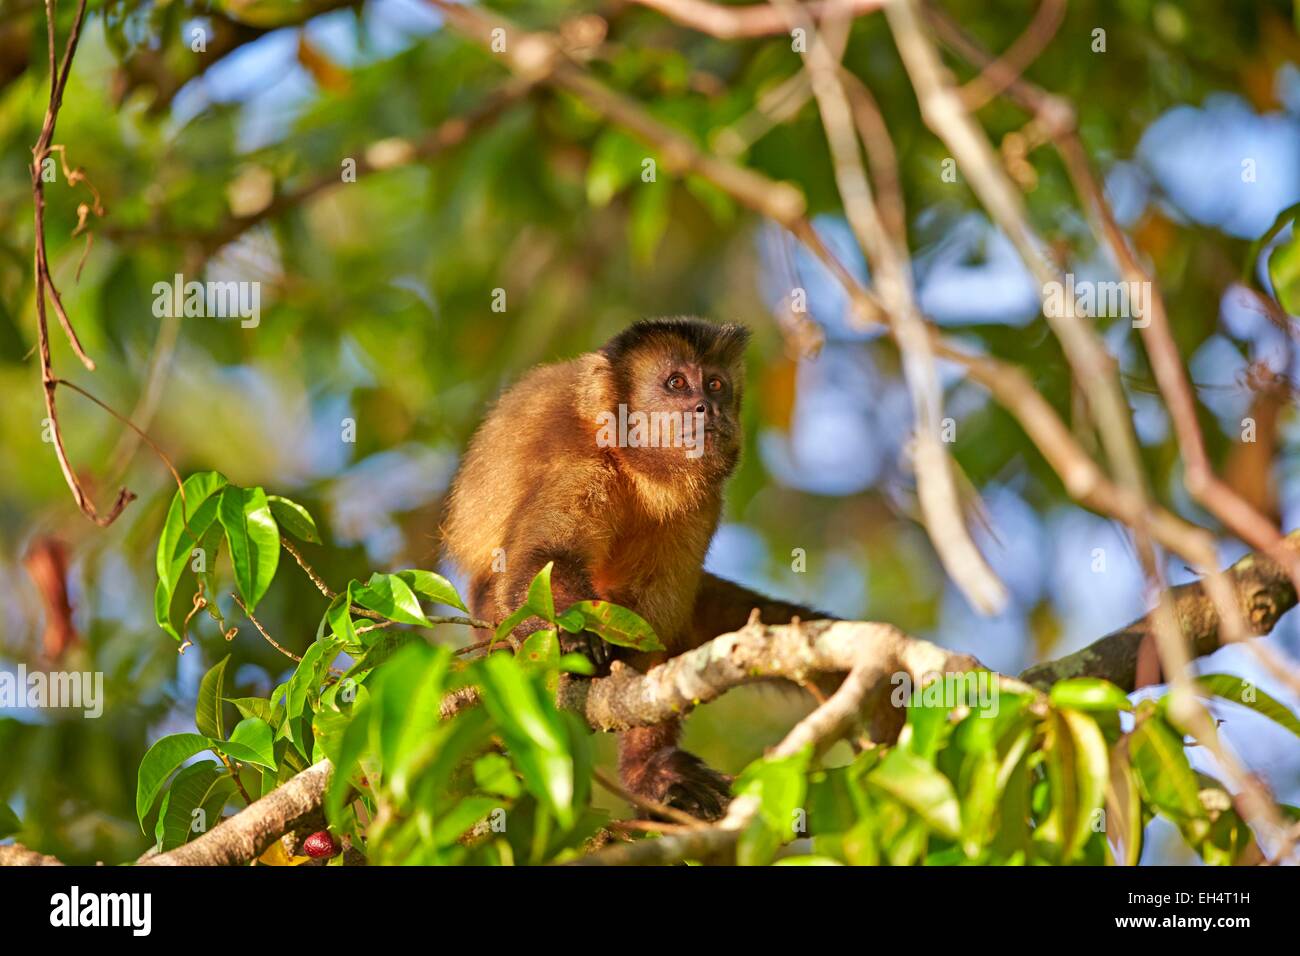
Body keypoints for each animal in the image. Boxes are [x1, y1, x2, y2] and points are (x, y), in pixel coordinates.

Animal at [441, 317, 816, 816]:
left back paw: (652, 772)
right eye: (676, 383)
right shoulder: (577, 465)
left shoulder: (702, 505)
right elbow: (542, 561)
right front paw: (576, 636)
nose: (707, 407)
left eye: (716, 384)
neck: (636, 467)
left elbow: (653, 617)